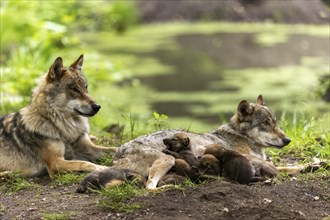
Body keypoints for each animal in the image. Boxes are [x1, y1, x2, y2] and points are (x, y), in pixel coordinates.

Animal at [113, 95, 292, 190]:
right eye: (266, 123)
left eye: (275, 122)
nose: (287, 140)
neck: (242, 136)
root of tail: (117, 156)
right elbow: (283, 168)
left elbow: (284, 167)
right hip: (167, 159)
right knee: (149, 187)